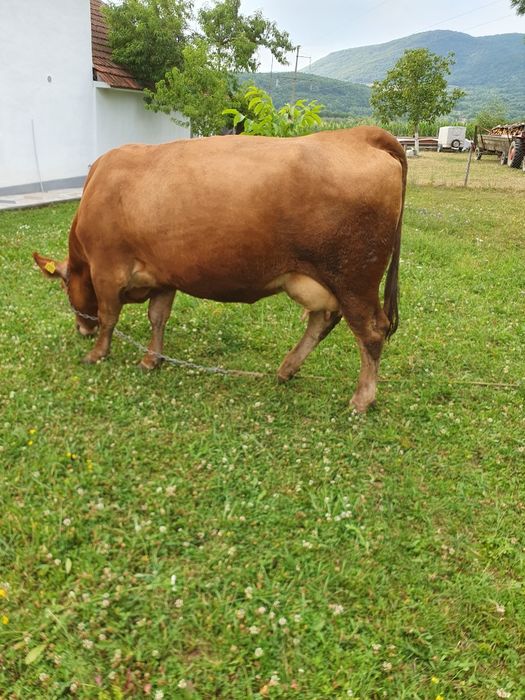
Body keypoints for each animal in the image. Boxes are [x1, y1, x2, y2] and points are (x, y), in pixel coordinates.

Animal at [33, 126, 407, 412]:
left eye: (65, 287)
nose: (81, 329)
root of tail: (360, 134)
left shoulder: (106, 270)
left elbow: (110, 316)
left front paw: (97, 354)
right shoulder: (164, 274)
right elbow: (158, 317)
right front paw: (152, 359)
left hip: (354, 279)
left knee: (371, 332)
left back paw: (361, 399)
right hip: (319, 279)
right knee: (323, 320)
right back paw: (287, 369)